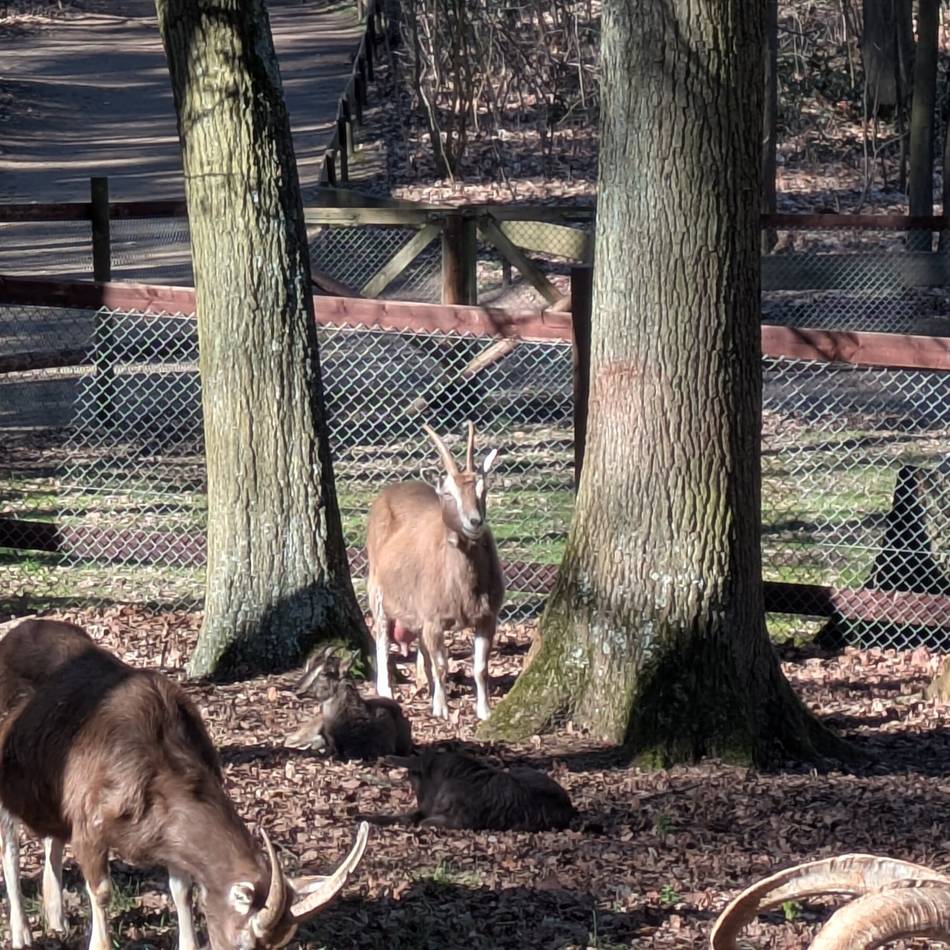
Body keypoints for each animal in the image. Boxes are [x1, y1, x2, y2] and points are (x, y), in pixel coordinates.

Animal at [0, 618, 368, 950]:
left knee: (51, 838)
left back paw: (57, 920)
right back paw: (22, 933)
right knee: (11, 850)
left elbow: (183, 890)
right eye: (245, 942)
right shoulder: (89, 826)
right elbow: (101, 892)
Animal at [367, 422, 504, 720]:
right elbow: (442, 664)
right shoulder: (433, 618)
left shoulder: (488, 616)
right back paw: (387, 690)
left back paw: (426, 686)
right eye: (448, 493)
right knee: (381, 636)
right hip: (377, 588)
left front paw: (485, 711)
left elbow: (480, 667)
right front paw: (441, 709)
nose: (475, 522)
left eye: (483, 488)